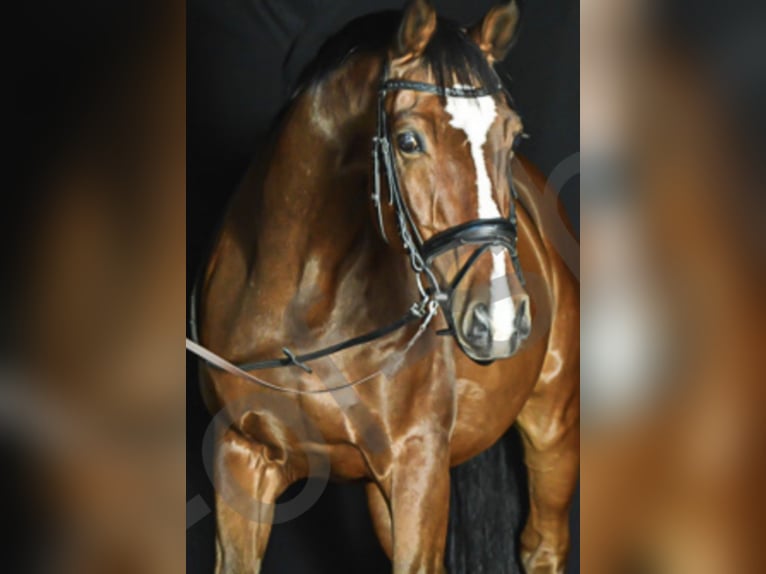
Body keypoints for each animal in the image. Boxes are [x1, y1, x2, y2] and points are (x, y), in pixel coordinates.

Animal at [191, 1, 579, 572]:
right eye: (408, 140)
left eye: (513, 137)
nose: (502, 319)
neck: (303, 309)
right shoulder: (242, 457)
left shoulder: (418, 465)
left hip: (552, 429)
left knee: (542, 544)